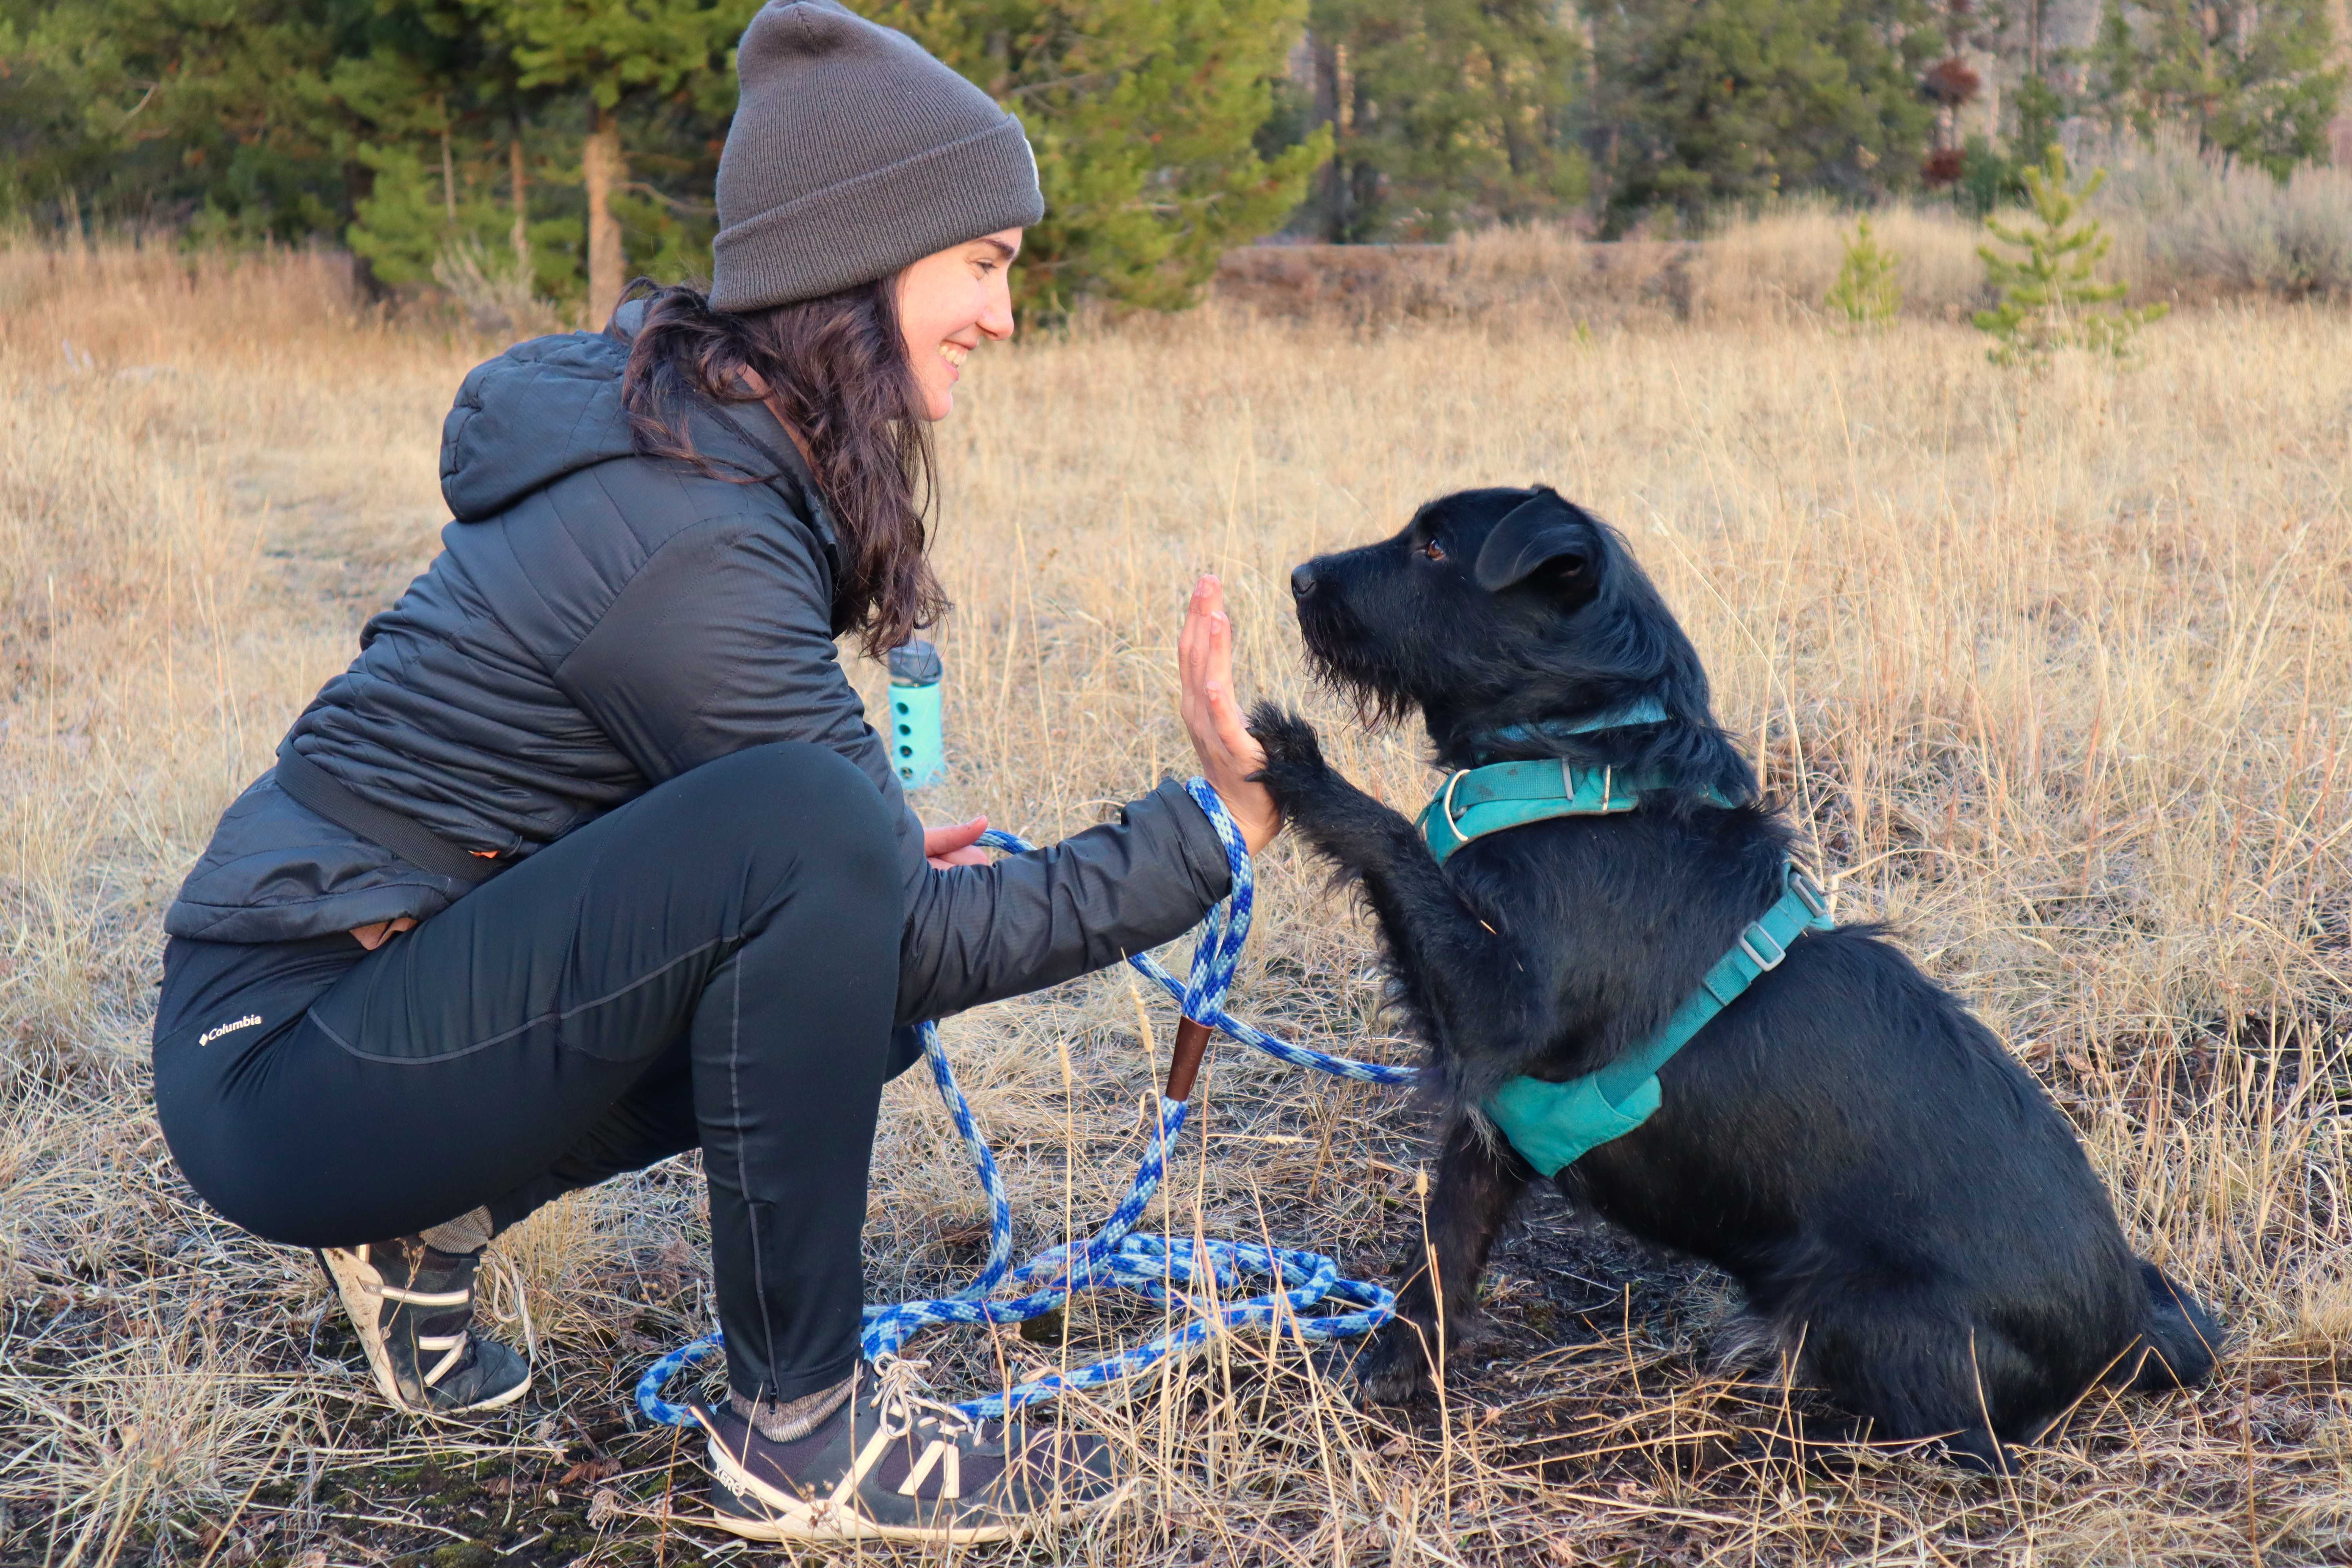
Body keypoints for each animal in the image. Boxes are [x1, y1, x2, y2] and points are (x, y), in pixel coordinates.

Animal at [1251, 482, 2220, 1476]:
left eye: (1436, 548)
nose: (1299, 577)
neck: (1578, 769)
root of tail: (2127, 1327)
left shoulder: (1495, 1018)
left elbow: (1397, 839)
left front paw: (1302, 766)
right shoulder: (1492, 1127)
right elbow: (1442, 1251)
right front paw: (1394, 1366)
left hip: (1863, 1309)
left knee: (1966, 1441)